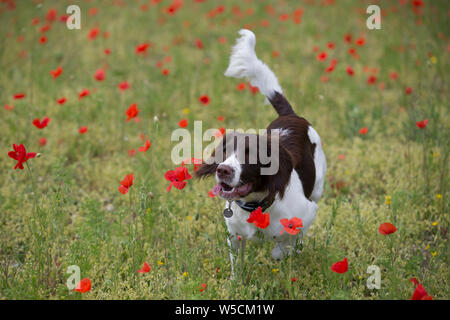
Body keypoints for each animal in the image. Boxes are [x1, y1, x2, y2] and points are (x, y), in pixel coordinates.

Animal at [195, 28, 326, 272]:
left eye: (251, 154)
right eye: (225, 151)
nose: (223, 170)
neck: (255, 205)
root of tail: (290, 115)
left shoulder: (308, 212)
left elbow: (284, 244)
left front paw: (283, 251)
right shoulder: (234, 235)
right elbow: (237, 267)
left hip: (318, 187)